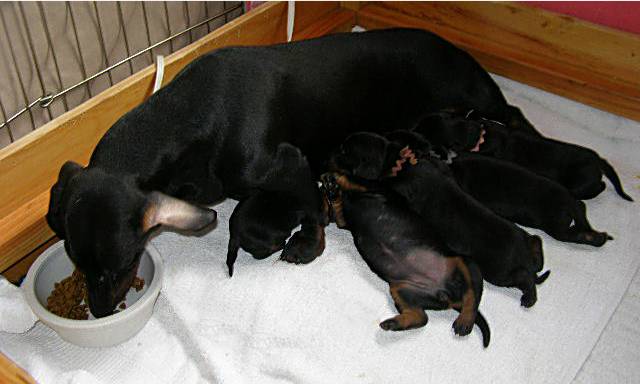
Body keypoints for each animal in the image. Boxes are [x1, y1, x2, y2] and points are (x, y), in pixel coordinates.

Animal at [320, 172, 490, 346]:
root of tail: (449, 296)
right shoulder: (344, 220)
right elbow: (339, 208)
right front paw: (332, 191)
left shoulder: (377, 188)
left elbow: (354, 180)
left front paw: (333, 179)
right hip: (402, 290)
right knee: (422, 318)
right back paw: (393, 323)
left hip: (464, 262)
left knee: (473, 294)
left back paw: (465, 321)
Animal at [330, 134, 552, 308]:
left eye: (343, 151)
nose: (328, 157)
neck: (396, 162)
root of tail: (526, 258)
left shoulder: (393, 190)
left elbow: (369, 184)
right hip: (523, 240)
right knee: (536, 241)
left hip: (500, 272)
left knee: (525, 278)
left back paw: (529, 297)